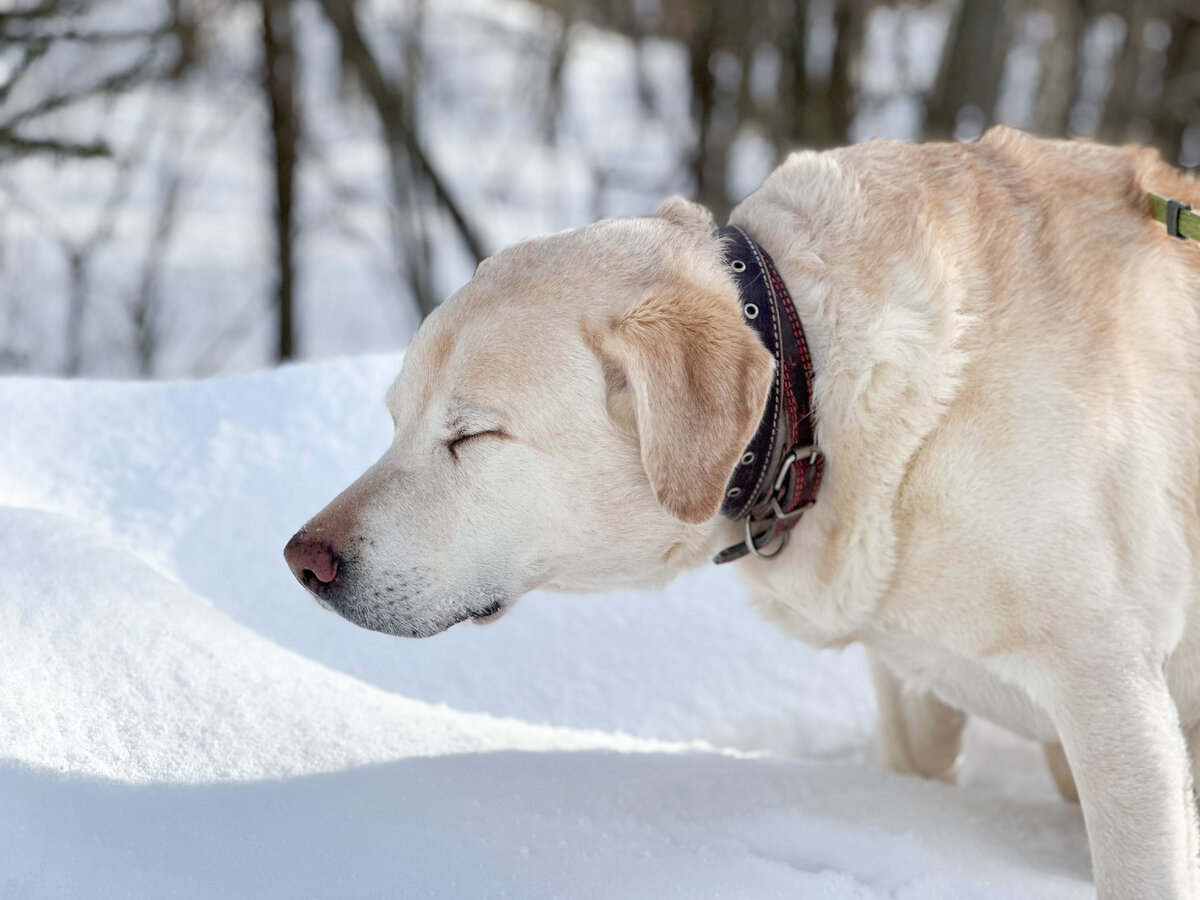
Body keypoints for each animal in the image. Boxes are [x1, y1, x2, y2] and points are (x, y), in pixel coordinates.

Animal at [283, 125, 1200, 897]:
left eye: (472, 434)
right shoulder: (912, 697)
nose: (303, 560)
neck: (812, 383)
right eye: (396, 420)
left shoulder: (1110, 693)